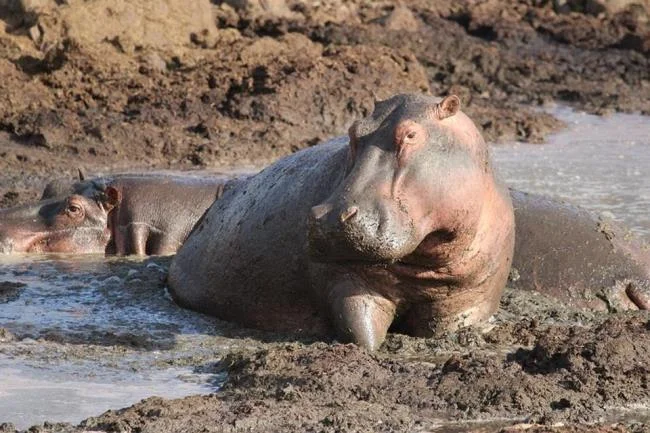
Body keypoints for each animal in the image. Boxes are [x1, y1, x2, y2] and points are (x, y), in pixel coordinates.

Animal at [169, 93, 516, 350]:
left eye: (410, 134)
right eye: (353, 132)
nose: (332, 217)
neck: (425, 260)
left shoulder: (468, 298)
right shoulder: (346, 280)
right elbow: (362, 332)